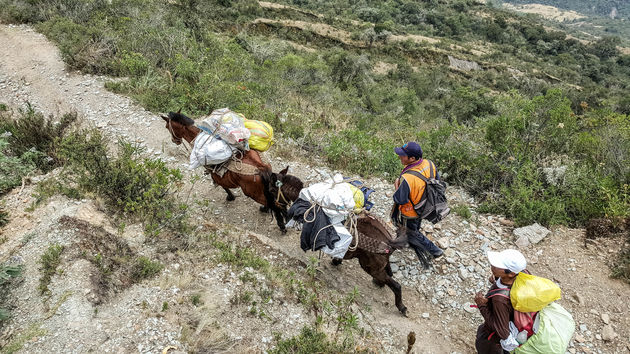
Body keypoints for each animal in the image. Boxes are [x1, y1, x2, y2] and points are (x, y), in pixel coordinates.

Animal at [163, 111, 302, 232]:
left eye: (167, 126)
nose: (174, 141)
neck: (197, 137)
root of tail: (261, 168)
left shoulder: (215, 174)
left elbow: (222, 185)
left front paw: (230, 196)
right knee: (275, 202)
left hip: (251, 192)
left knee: (274, 205)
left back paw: (280, 224)